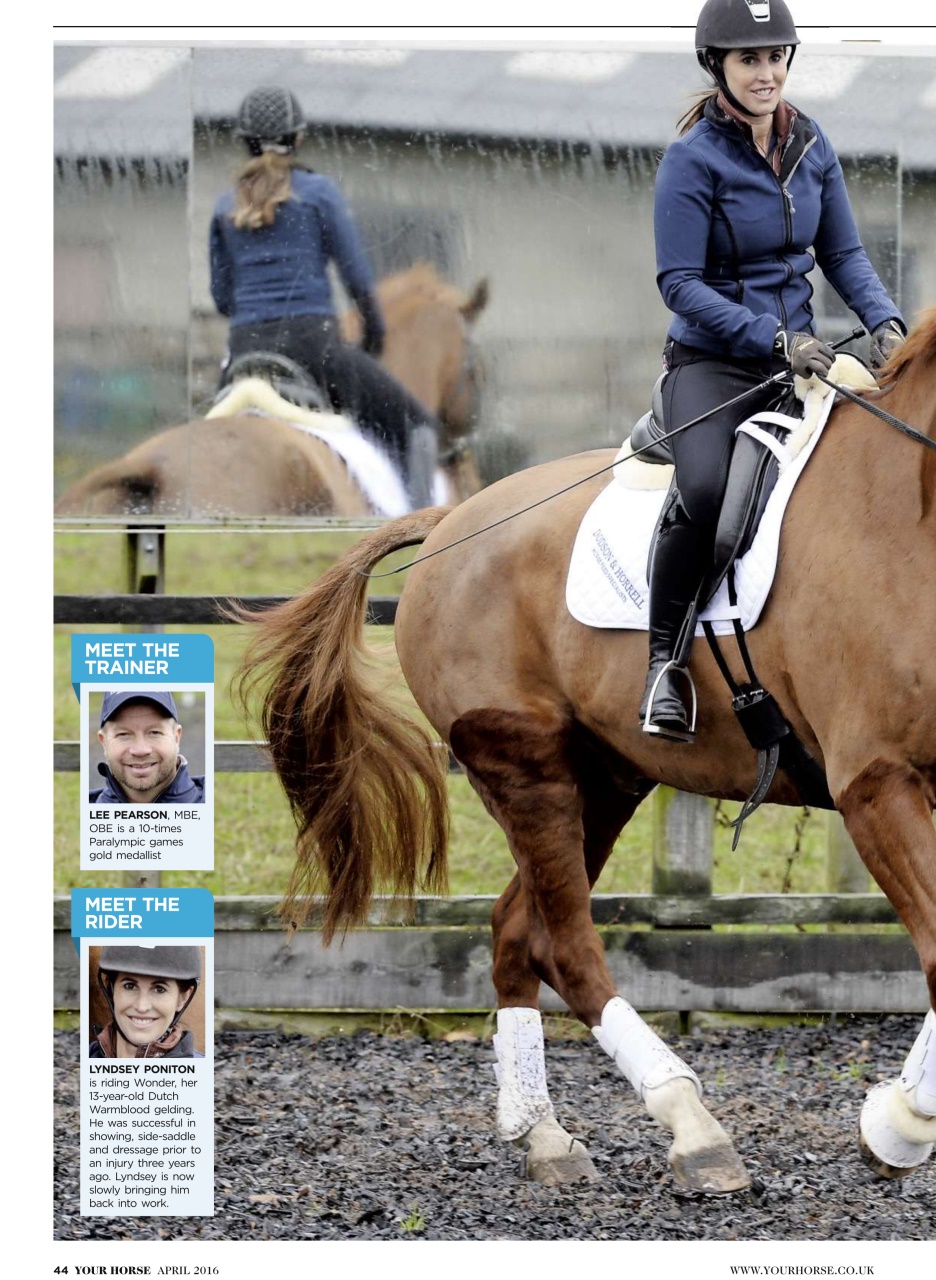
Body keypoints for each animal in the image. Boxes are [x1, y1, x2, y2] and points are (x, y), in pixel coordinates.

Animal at [235, 307, 936, 1195]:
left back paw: (542, 1133)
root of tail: (455, 522)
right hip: (524, 767)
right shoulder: (877, 783)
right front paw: (901, 1125)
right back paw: (693, 1127)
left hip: (603, 779)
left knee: (515, 929)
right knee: (561, 942)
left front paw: (896, 1122)